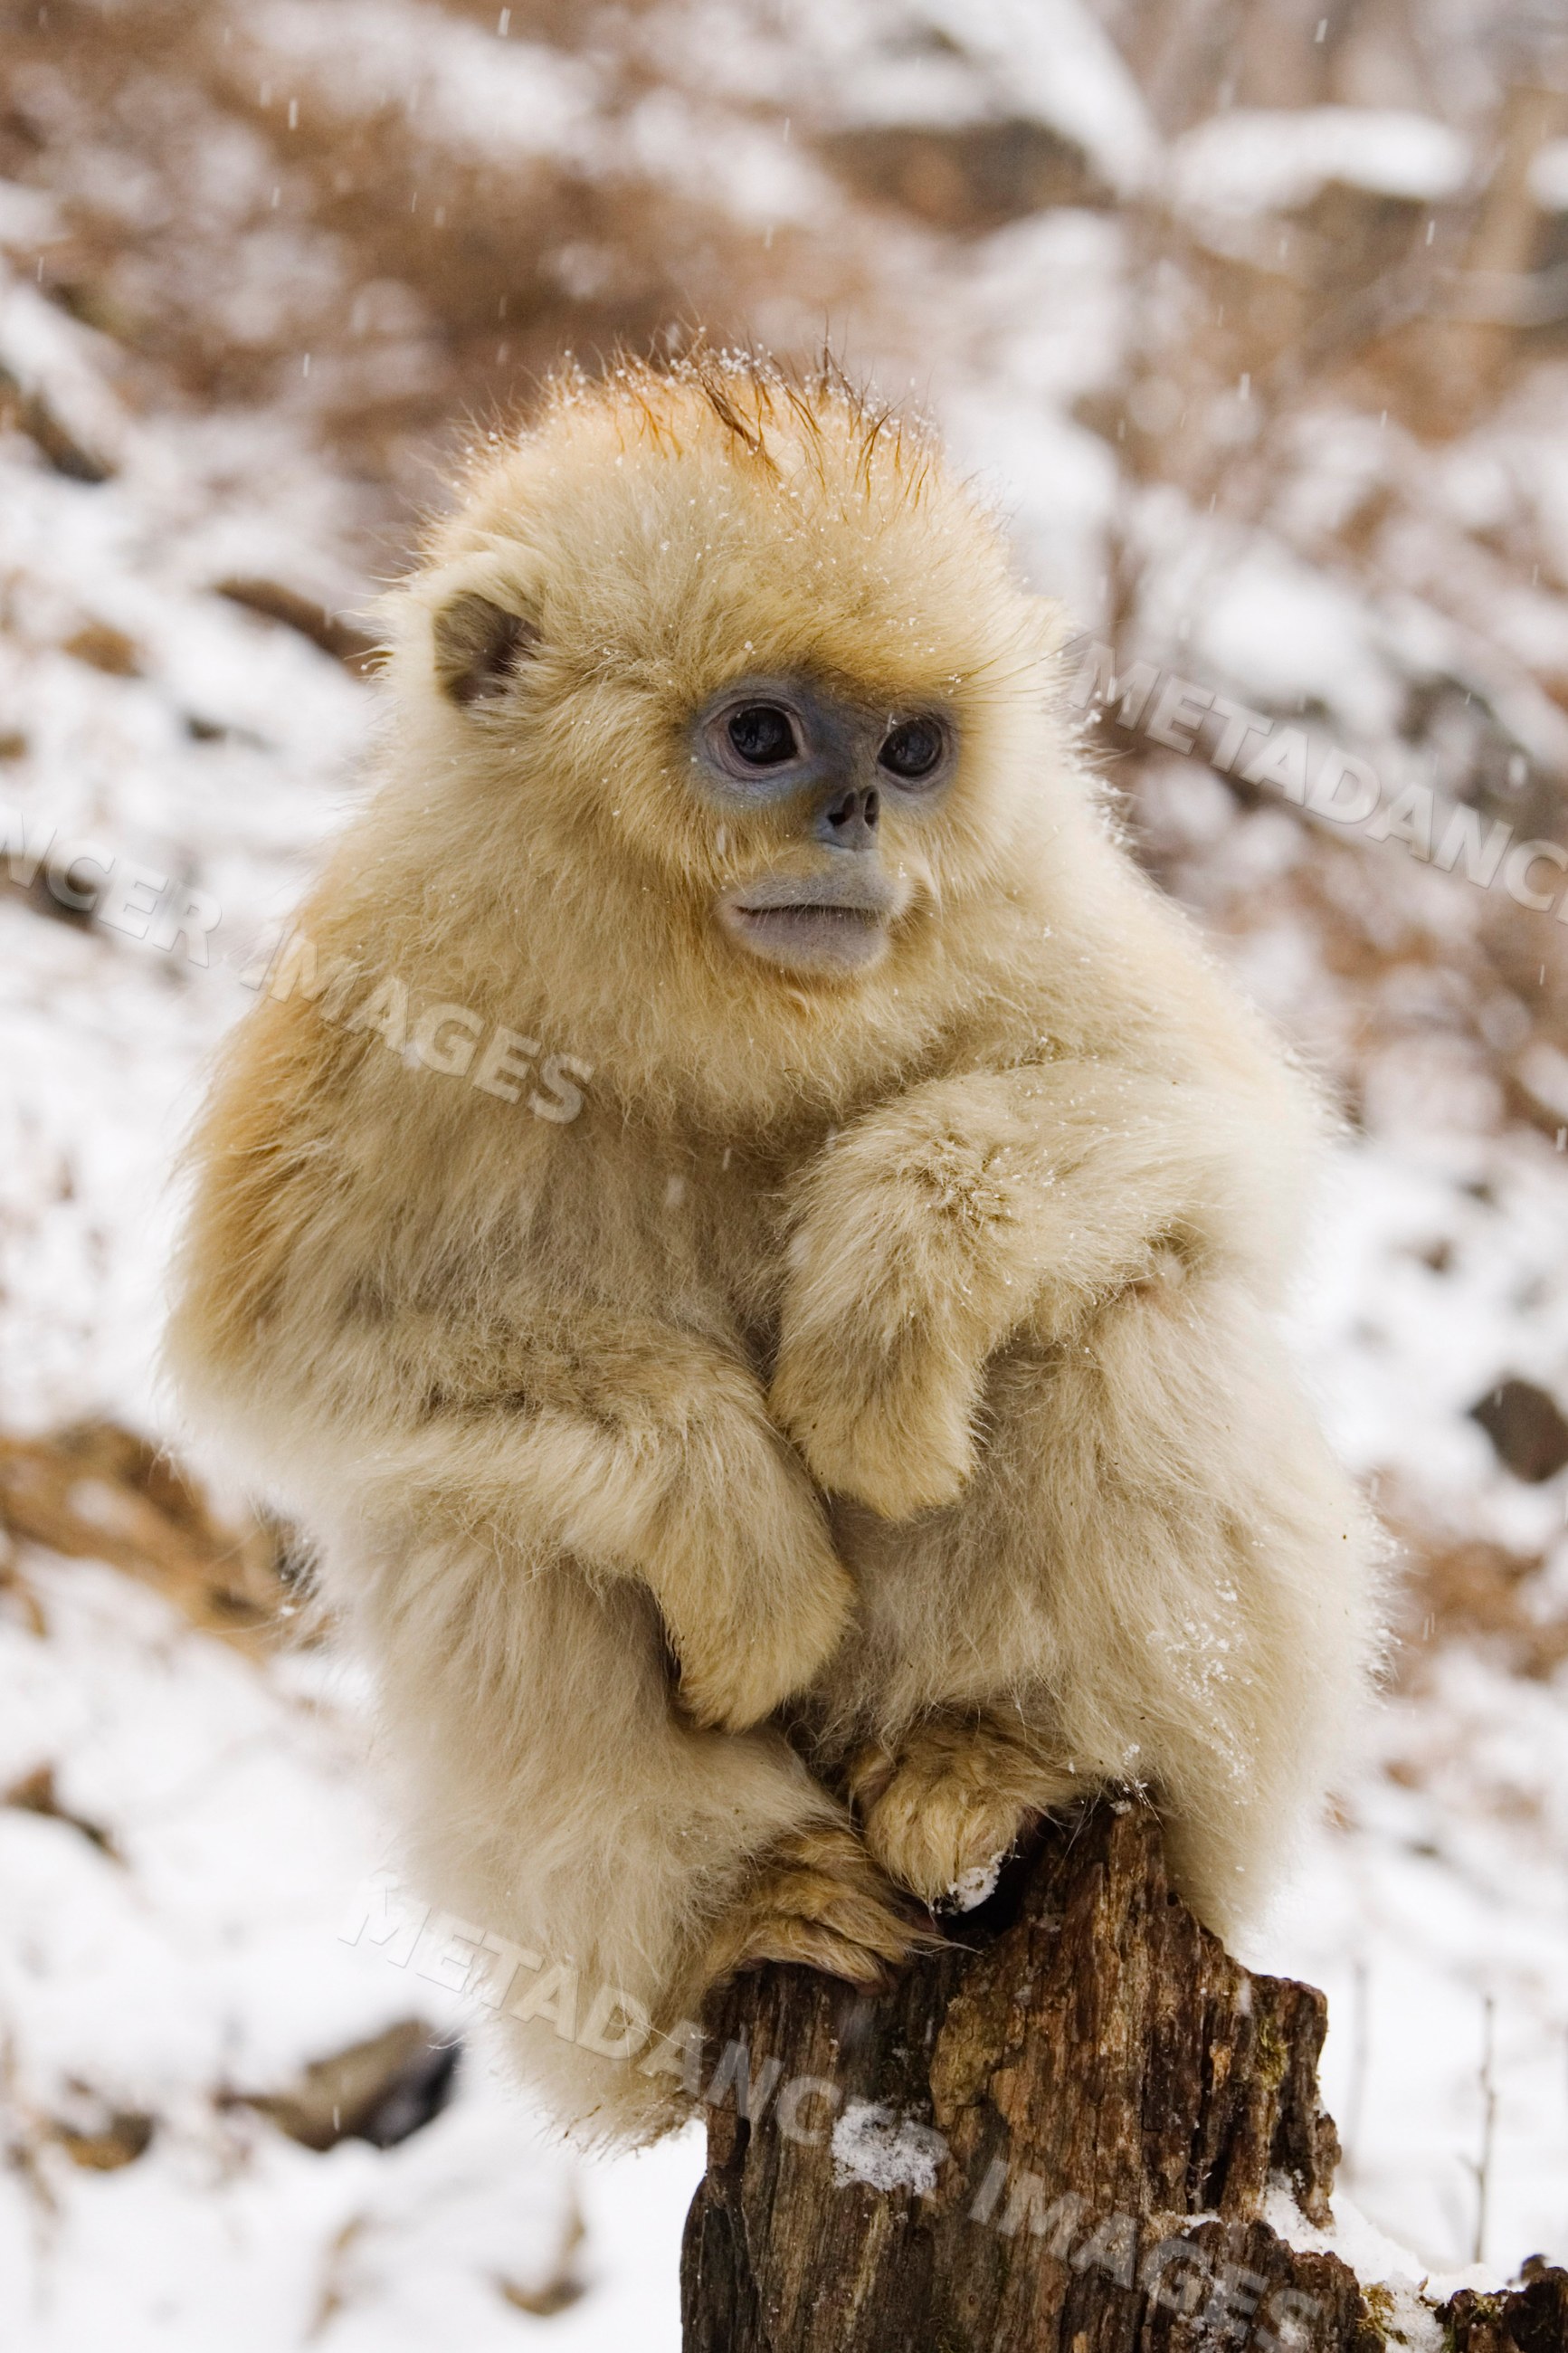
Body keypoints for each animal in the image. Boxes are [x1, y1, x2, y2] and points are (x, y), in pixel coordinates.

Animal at [165, 353, 1381, 2143]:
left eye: (914, 747)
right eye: (760, 735)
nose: (856, 808)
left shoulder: (1020, 900)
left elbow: (1230, 1133)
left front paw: (879, 1318)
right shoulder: (385, 966)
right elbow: (282, 1358)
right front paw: (743, 1539)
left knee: (1131, 1309)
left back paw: (1023, 1758)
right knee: (468, 1518)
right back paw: (731, 1899)